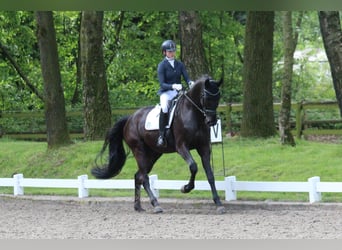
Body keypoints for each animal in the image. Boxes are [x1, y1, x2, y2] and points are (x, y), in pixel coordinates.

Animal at [91, 75, 224, 213]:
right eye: (205, 97)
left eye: (218, 97)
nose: (212, 121)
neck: (193, 113)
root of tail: (130, 118)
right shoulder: (181, 147)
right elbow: (193, 166)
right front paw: (185, 188)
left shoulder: (204, 148)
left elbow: (210, 175)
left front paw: (218, 203)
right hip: (139, 150)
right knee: (144, 177)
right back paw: (156, 204)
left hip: (153, 154)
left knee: (138, 176)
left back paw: (138, 206)